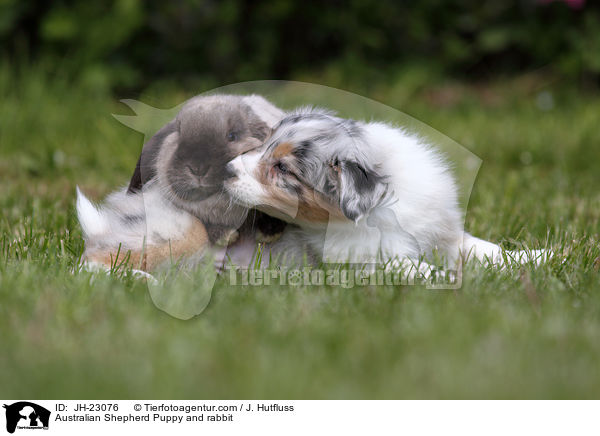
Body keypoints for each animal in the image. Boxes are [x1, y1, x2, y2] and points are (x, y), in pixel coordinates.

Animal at [225, 108, 548, 272]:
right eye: (265, 142)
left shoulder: (444, 237)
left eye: (282, 168)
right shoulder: (365, 263)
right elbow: (414, 267)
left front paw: (541, 256)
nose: (225, 169)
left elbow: (487, 249)